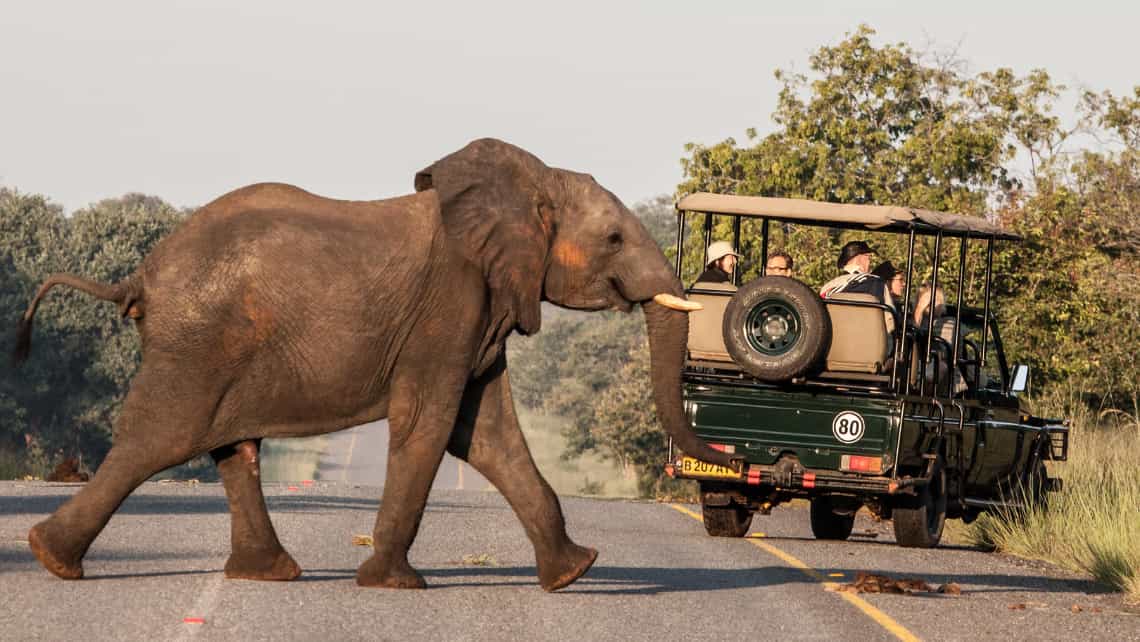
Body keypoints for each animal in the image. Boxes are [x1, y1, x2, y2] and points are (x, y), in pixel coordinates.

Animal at [13, 137, 743, 588]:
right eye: (614, 238)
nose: (735, 456)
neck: (523, 186)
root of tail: (139, 274)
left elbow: (487, 435)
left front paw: (576, 572)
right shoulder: (448, 306)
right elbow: (430, 423)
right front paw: (395, 585)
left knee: (231, 447)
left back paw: (268, 574)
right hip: (198, 343)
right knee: (162, 438)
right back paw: (52, 560)